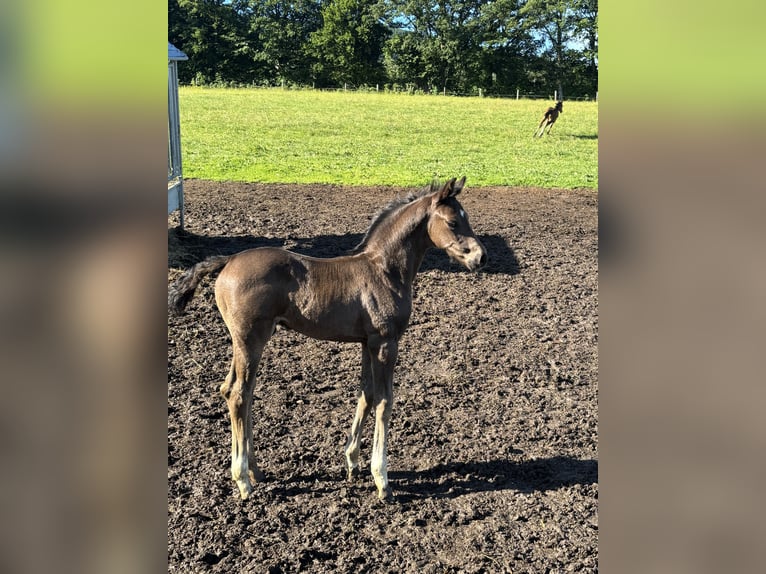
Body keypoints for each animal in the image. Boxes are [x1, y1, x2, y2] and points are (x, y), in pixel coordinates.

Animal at [168, 177, 487, 501]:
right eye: (453, 222)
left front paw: (352, 462)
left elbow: (366, 395)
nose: (480, 257)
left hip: (245, 342)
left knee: (232, 390)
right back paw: (243, 480)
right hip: (250, 340)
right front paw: (381, 479)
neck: (384, 271)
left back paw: (256, 471)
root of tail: (228, 259)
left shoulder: (367, 343)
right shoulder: (386, 343)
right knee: (239, 394)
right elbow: (385, 402)